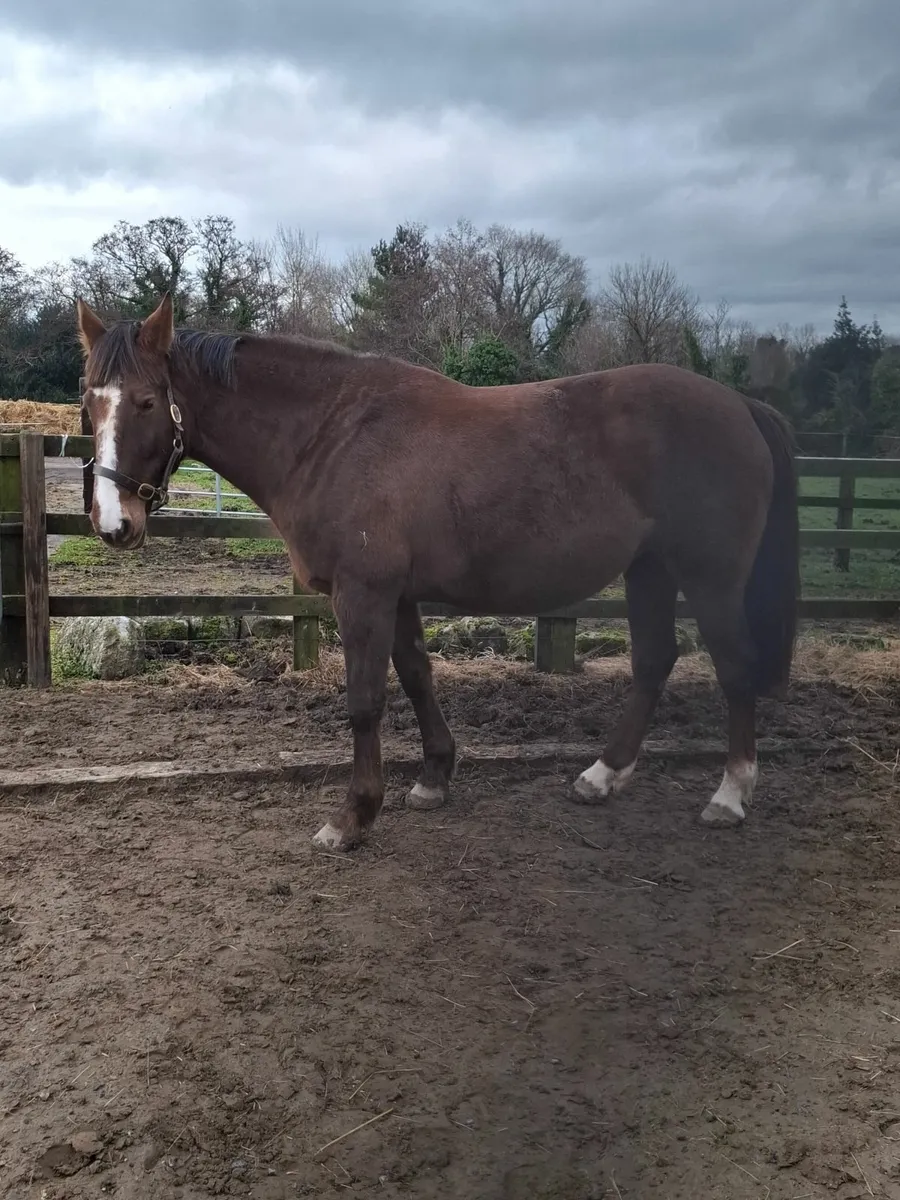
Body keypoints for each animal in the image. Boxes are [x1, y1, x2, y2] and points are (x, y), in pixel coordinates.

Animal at [75, 293, 799, 852]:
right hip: (650, 570)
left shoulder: (362, 595)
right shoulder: (396, 597)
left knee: (733, 666)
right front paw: (432, 778)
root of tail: (741, 406)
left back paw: (730, 794)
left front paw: (352, 817)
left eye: (147, 402)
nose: (114, 522)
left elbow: (365, 700)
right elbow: (418, 676)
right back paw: (602, 775)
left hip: (710, 578)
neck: (331, 433)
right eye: (88, 402)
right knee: (654, 660)